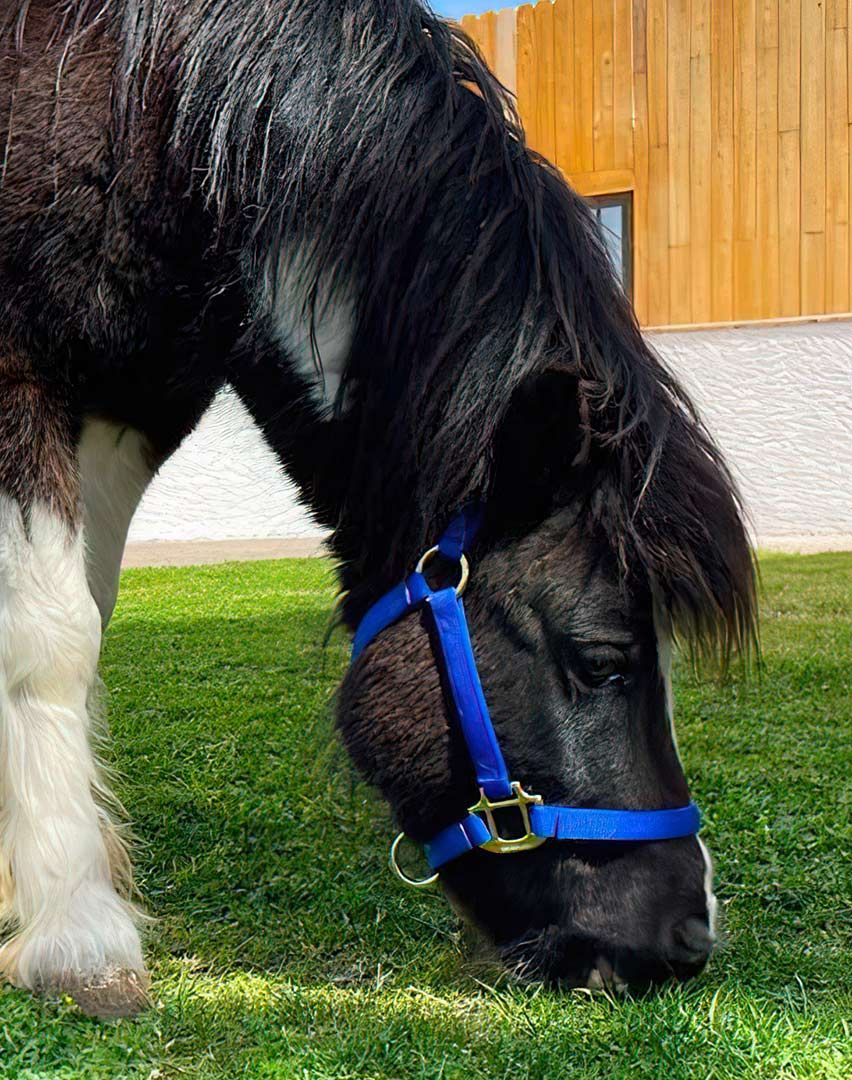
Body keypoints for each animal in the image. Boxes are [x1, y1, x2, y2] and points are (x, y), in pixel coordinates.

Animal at [0, 0, 757, 1018]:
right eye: (603, 659)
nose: (685, 937)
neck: (150, 105)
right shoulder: (21, 381)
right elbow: (52, 638)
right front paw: (77, 928)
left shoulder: (126, 412)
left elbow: (87, 618)